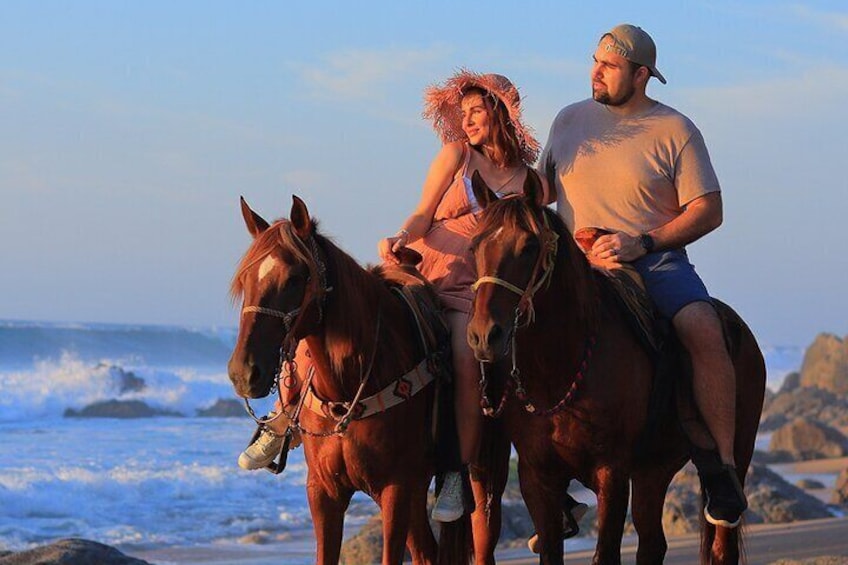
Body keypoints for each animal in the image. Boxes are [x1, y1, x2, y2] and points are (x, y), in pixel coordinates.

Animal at [464, 173, 768, 564]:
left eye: (529, 246)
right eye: (474, 247)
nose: (484, 335)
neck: (559, 370)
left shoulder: (611, 472)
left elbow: (605, 553)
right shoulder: (537, 476)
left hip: (737, 454)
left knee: (721, 543)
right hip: (653, 470)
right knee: (653, 543)